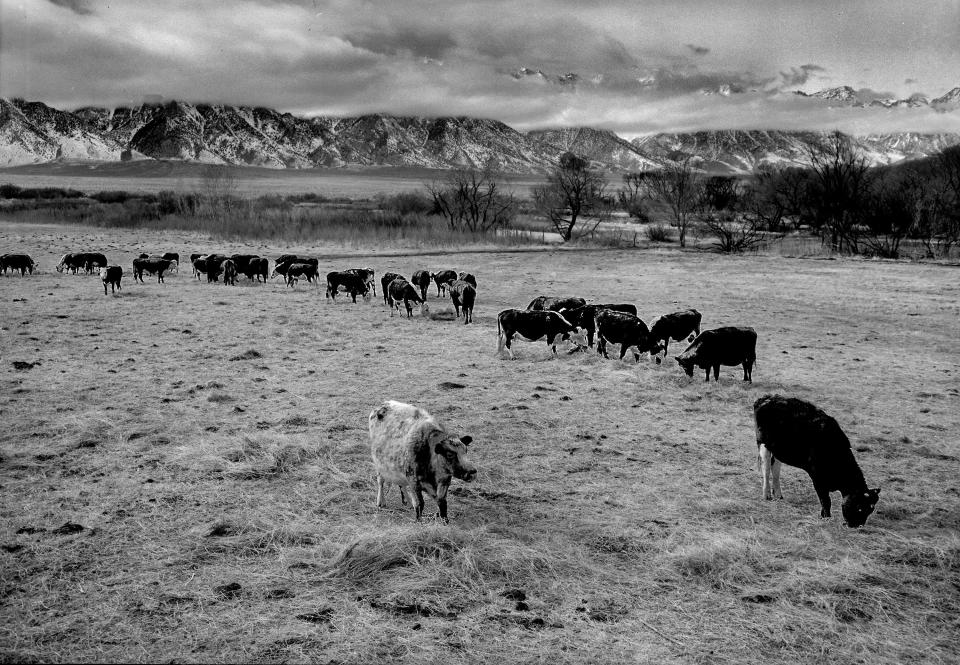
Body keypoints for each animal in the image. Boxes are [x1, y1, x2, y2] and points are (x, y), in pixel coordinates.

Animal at [752, 392, 880, 528]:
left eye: (870, 510)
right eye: (860, 507)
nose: (857, 526)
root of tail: (767, 398)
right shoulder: (817, 478)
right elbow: (826, 500)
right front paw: (826, 517)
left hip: (777, 450)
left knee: (775, 468)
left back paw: (778, 495)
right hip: (763, 443)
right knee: (766, 468)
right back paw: (767, 495)